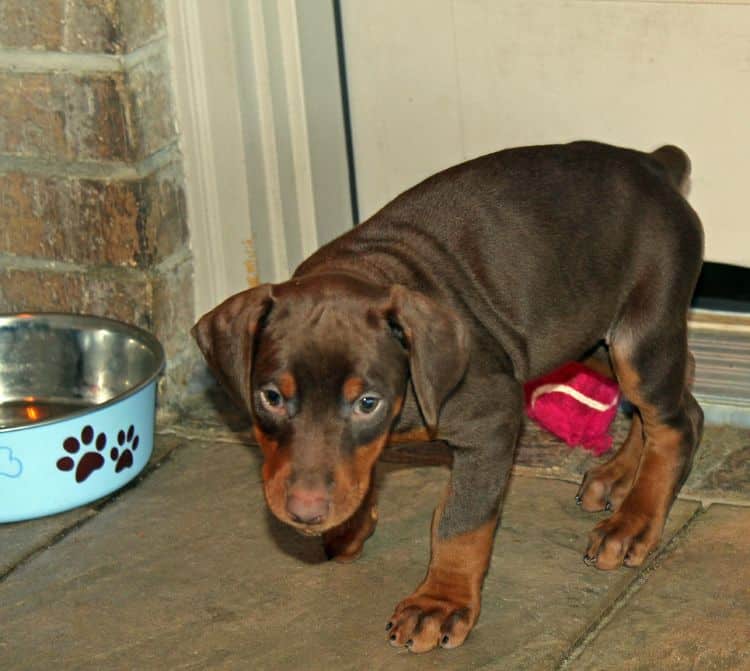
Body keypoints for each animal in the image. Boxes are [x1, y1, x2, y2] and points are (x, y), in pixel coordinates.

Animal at [192, 140, 704, 652]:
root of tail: (653, 163)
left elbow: (462, 519)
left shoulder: (492, 416)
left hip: (638, 332)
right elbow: (358, 468)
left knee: (674, 423)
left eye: (367, 402)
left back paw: (634, 521)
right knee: (684, 393)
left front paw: (440, 603)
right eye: (271, 397)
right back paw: (619, 476)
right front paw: (350, 524)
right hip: (586, 336)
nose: (305, 511)